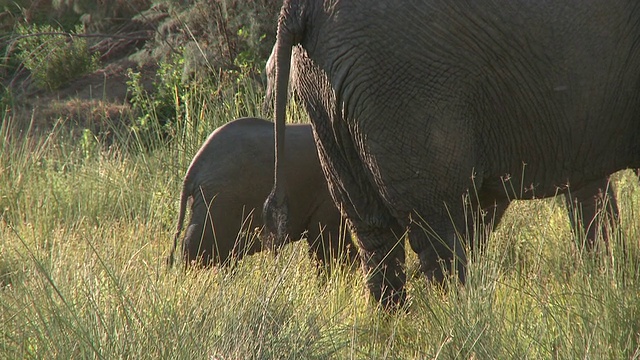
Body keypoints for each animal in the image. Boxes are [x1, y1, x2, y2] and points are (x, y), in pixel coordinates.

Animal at [262, 0, 636, 310]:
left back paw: (396, 328)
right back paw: (461, 323)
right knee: (438, 233)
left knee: (373, 232)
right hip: (403, 88)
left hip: (325, 99)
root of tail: (299, 7)